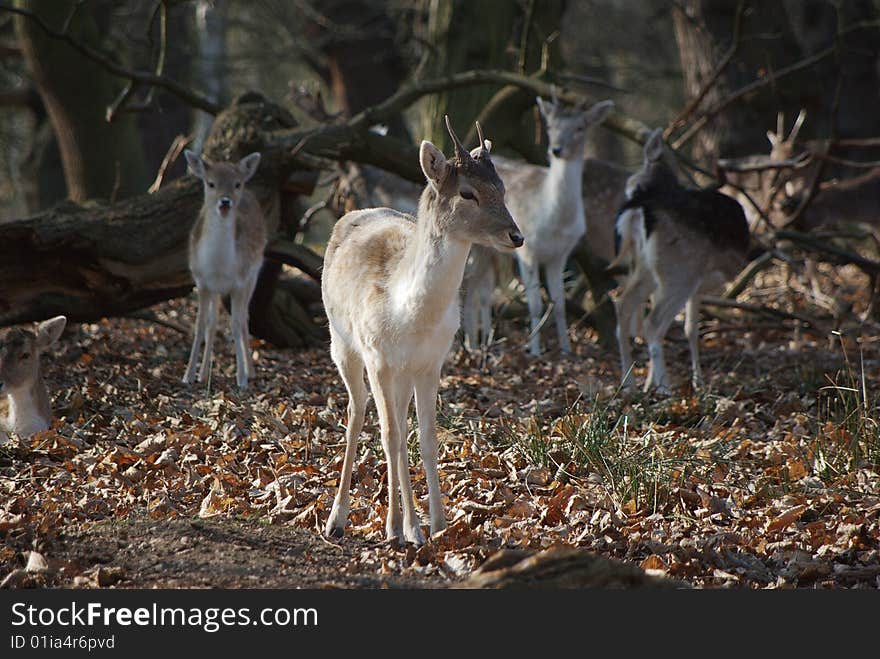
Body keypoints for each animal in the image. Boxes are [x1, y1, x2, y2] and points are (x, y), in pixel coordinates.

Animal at [183, 150, 266, 392]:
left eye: (237, 184)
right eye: (210, 183)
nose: (225, 201)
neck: (219, 266)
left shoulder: (239, 282)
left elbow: (236, 324)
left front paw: (242, 379)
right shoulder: (201, 282)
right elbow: (200, 325)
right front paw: (188, 375)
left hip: (254, 275)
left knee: (244, 317)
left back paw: (251, 370)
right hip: (216, 291)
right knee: (212, 324)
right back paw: (203, 374)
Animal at [322, 118, 524, 548]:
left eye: (501, 188)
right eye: (467, 192)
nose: (516, 236)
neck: (409, 315)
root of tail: (353, 212)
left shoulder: (432, 363)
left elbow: (427, 438)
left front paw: (436, 525)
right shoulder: (378, 358)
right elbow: (389, 436)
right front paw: (398, 527)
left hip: (402, 373)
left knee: (397, 424)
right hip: (341, 342)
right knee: (357, 414)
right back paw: (339, 519)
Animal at [484, 93, 616, 358]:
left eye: (580, 127)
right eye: (550, 126)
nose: (556, 149)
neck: (552, 221)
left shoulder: (560, 255)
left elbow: (560, 304)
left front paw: (566, 350)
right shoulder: (527, 251)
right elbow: (535, 305)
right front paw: (534, 351)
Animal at [612, 131, 748, 394]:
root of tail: (642, 208)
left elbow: (688, 328)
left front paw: (649, 383)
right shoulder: (695, 284)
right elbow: (692, 329)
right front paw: (698, 382)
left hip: (647, 269)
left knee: (623, 306)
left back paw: (629, 384)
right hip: (680, 271)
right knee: (653, 322)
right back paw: (665, 388)